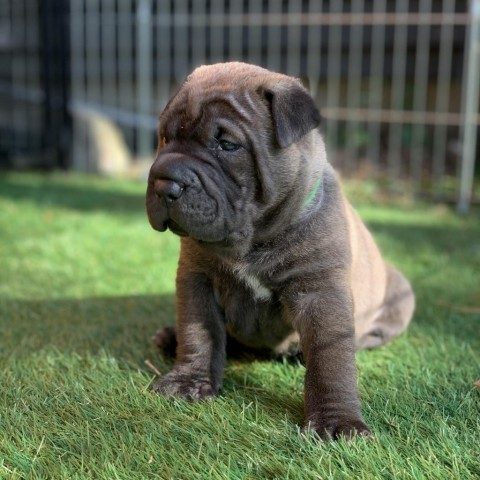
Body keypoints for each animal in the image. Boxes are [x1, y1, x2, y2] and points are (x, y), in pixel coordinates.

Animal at [144, 62, 414, 440]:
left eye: (227, 145)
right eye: (165, 138)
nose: (164, 183)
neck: (253, 238)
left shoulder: (320, 290)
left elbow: (331, 358)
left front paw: (336, 421)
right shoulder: (196, 279)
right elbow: (199, 332)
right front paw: (188, 382)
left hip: (401, 291)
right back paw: (171, 337)